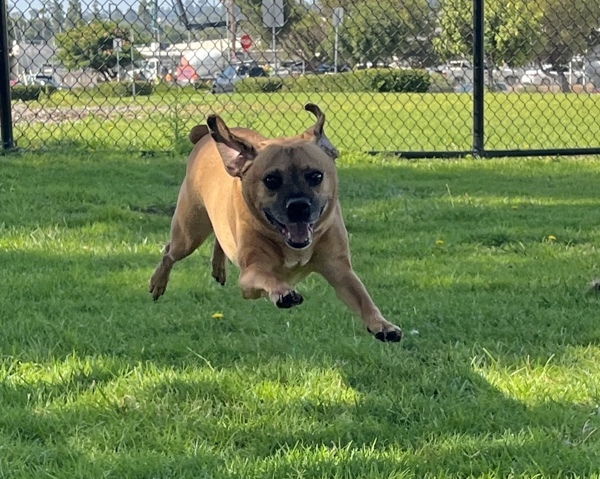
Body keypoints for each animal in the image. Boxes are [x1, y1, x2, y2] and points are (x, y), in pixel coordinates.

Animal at [149, 105, 404, 344]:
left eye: (316, 176)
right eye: (271, 179)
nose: (298, 206)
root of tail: (203, 138)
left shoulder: (339, 268)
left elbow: (362, 297)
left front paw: (382, 325)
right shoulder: (250, 276)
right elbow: (268, 277)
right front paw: (283, 292)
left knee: (218, 240)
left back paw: (218, 267)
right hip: (189, 232)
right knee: (170, 252)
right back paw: (158, 283)